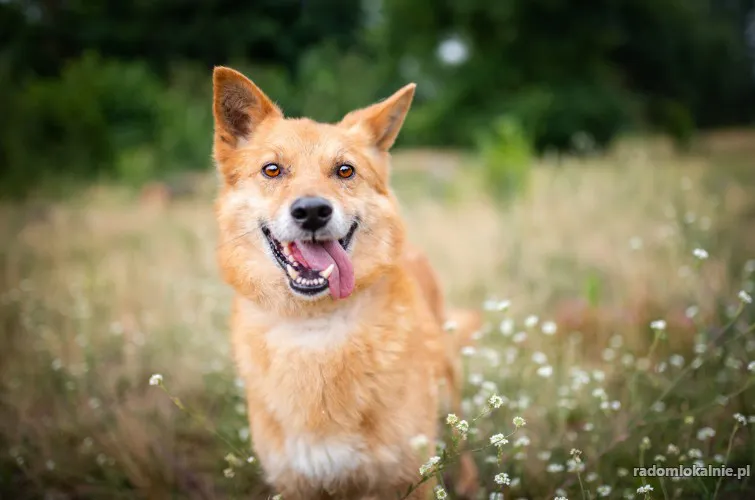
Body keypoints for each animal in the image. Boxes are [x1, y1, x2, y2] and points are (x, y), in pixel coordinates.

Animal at [210, 67, 482, 500]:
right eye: (272, 169)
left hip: (448, 378)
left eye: (345, 170)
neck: (316, 326)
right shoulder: (295, 483)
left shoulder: (409, 475)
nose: (312, 211)